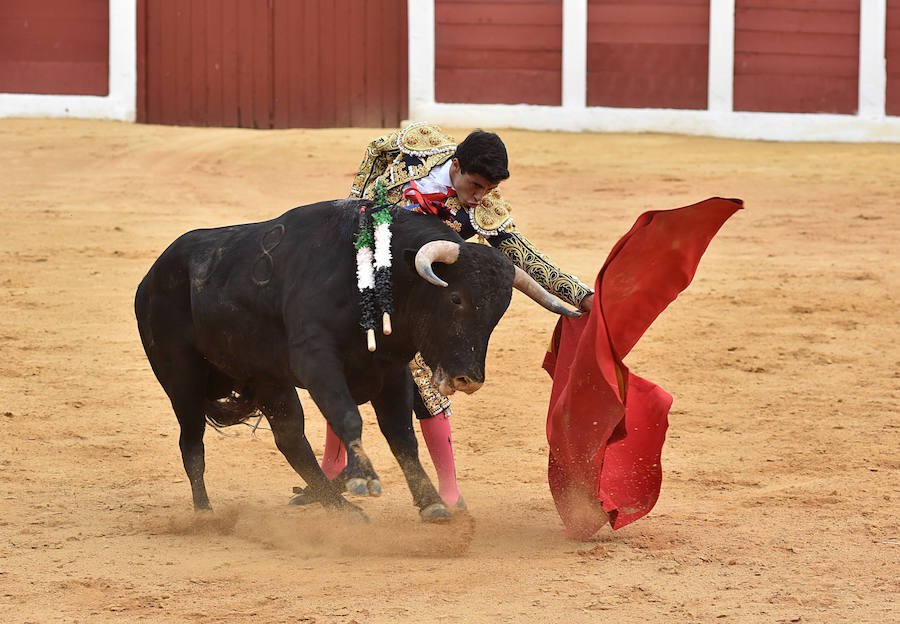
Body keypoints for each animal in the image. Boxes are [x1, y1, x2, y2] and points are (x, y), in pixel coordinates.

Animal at [134, 200, 576, 520]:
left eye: (498, 313)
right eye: (455, 299)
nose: (469, 378)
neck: (375, 277)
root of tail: (152, 274)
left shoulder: (391, 372)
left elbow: (402, 436)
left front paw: (431, 502)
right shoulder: (316, 360)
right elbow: (349, 418)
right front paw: (364, 479)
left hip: (268, 379)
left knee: (290, 439)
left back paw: (339, 507)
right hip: (181, 381)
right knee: (192, 442)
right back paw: (205, 513)